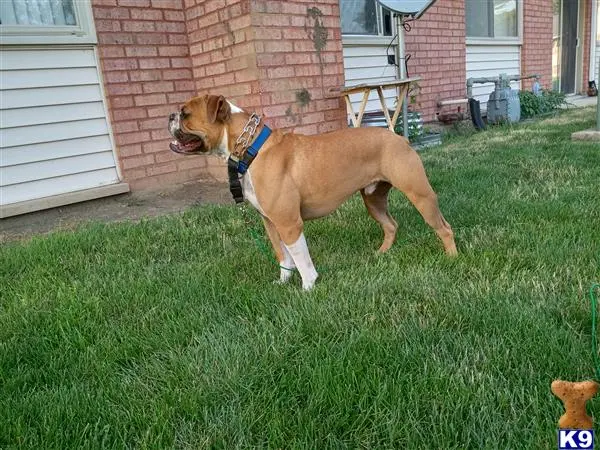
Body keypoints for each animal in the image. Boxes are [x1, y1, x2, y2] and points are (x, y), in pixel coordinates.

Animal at [166, 93, 458, 290]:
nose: (169, 116)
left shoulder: (289, 224)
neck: (251, 147)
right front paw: (283, 282)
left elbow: (300, 258)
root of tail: (400, 138)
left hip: (420, 195)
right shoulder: (271, 223)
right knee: (391, 225)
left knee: (444, 228)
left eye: (185, 113)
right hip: (373, 200)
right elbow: (283, 256)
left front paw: (308, 287)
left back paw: (452, 258)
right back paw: (382, 253)